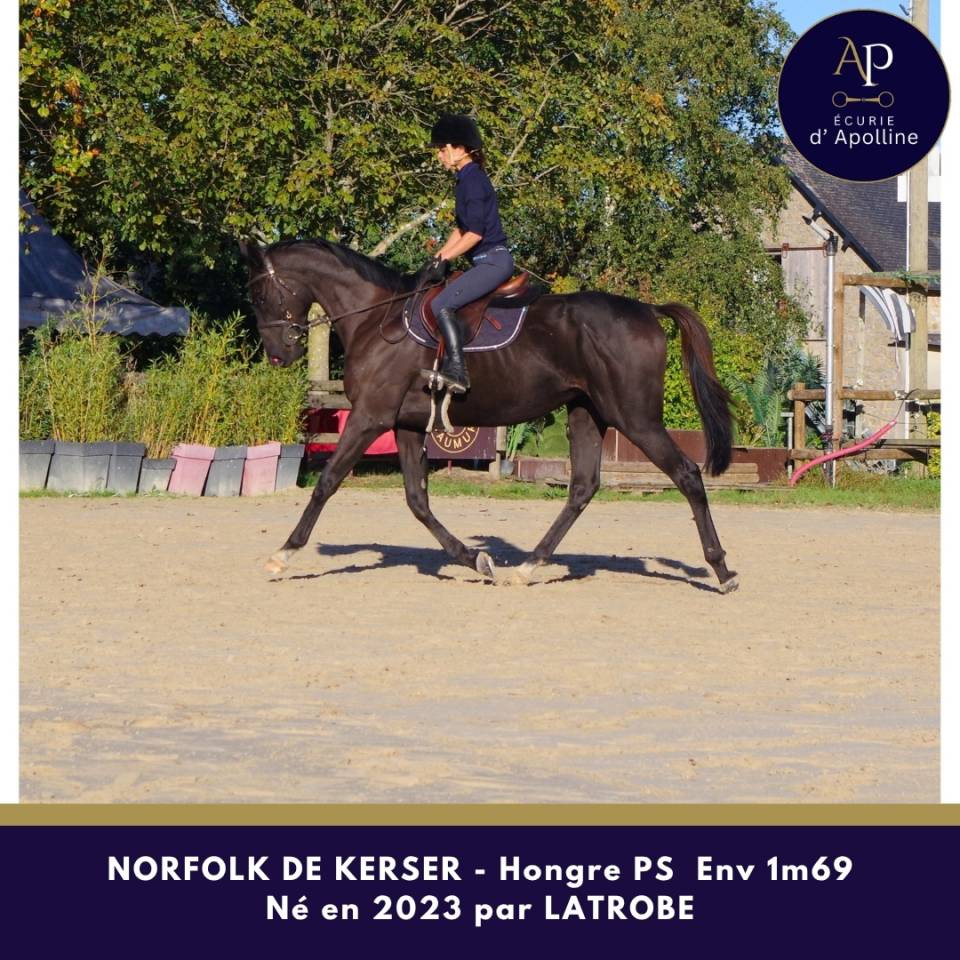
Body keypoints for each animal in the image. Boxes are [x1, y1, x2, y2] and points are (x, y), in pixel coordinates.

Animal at [240, 238, 738, 592]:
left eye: (261, 293)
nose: (279, 355)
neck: (376, 319)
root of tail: (647, 310)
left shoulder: (369, 418)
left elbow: (326, 483)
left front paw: (284, 553)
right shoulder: (403, 424)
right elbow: (417, 501)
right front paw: (474, 559)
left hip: (635, 418)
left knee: (687, 474)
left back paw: (722, 570)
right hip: (586, 412)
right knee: (582, 488)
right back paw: (529, 567)